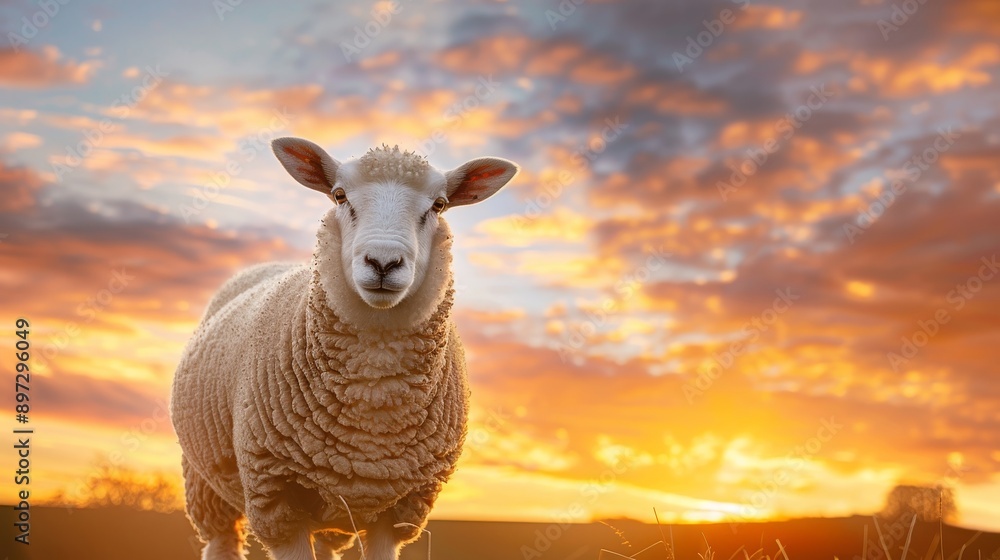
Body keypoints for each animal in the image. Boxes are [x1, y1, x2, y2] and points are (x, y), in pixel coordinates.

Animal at [171, 138, 519, 560]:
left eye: (439, 205)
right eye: (339, 195)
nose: (383, 262)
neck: (374, 393)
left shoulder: (400, 510)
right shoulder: (277, 499)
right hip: (205, 483)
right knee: (220, 540)